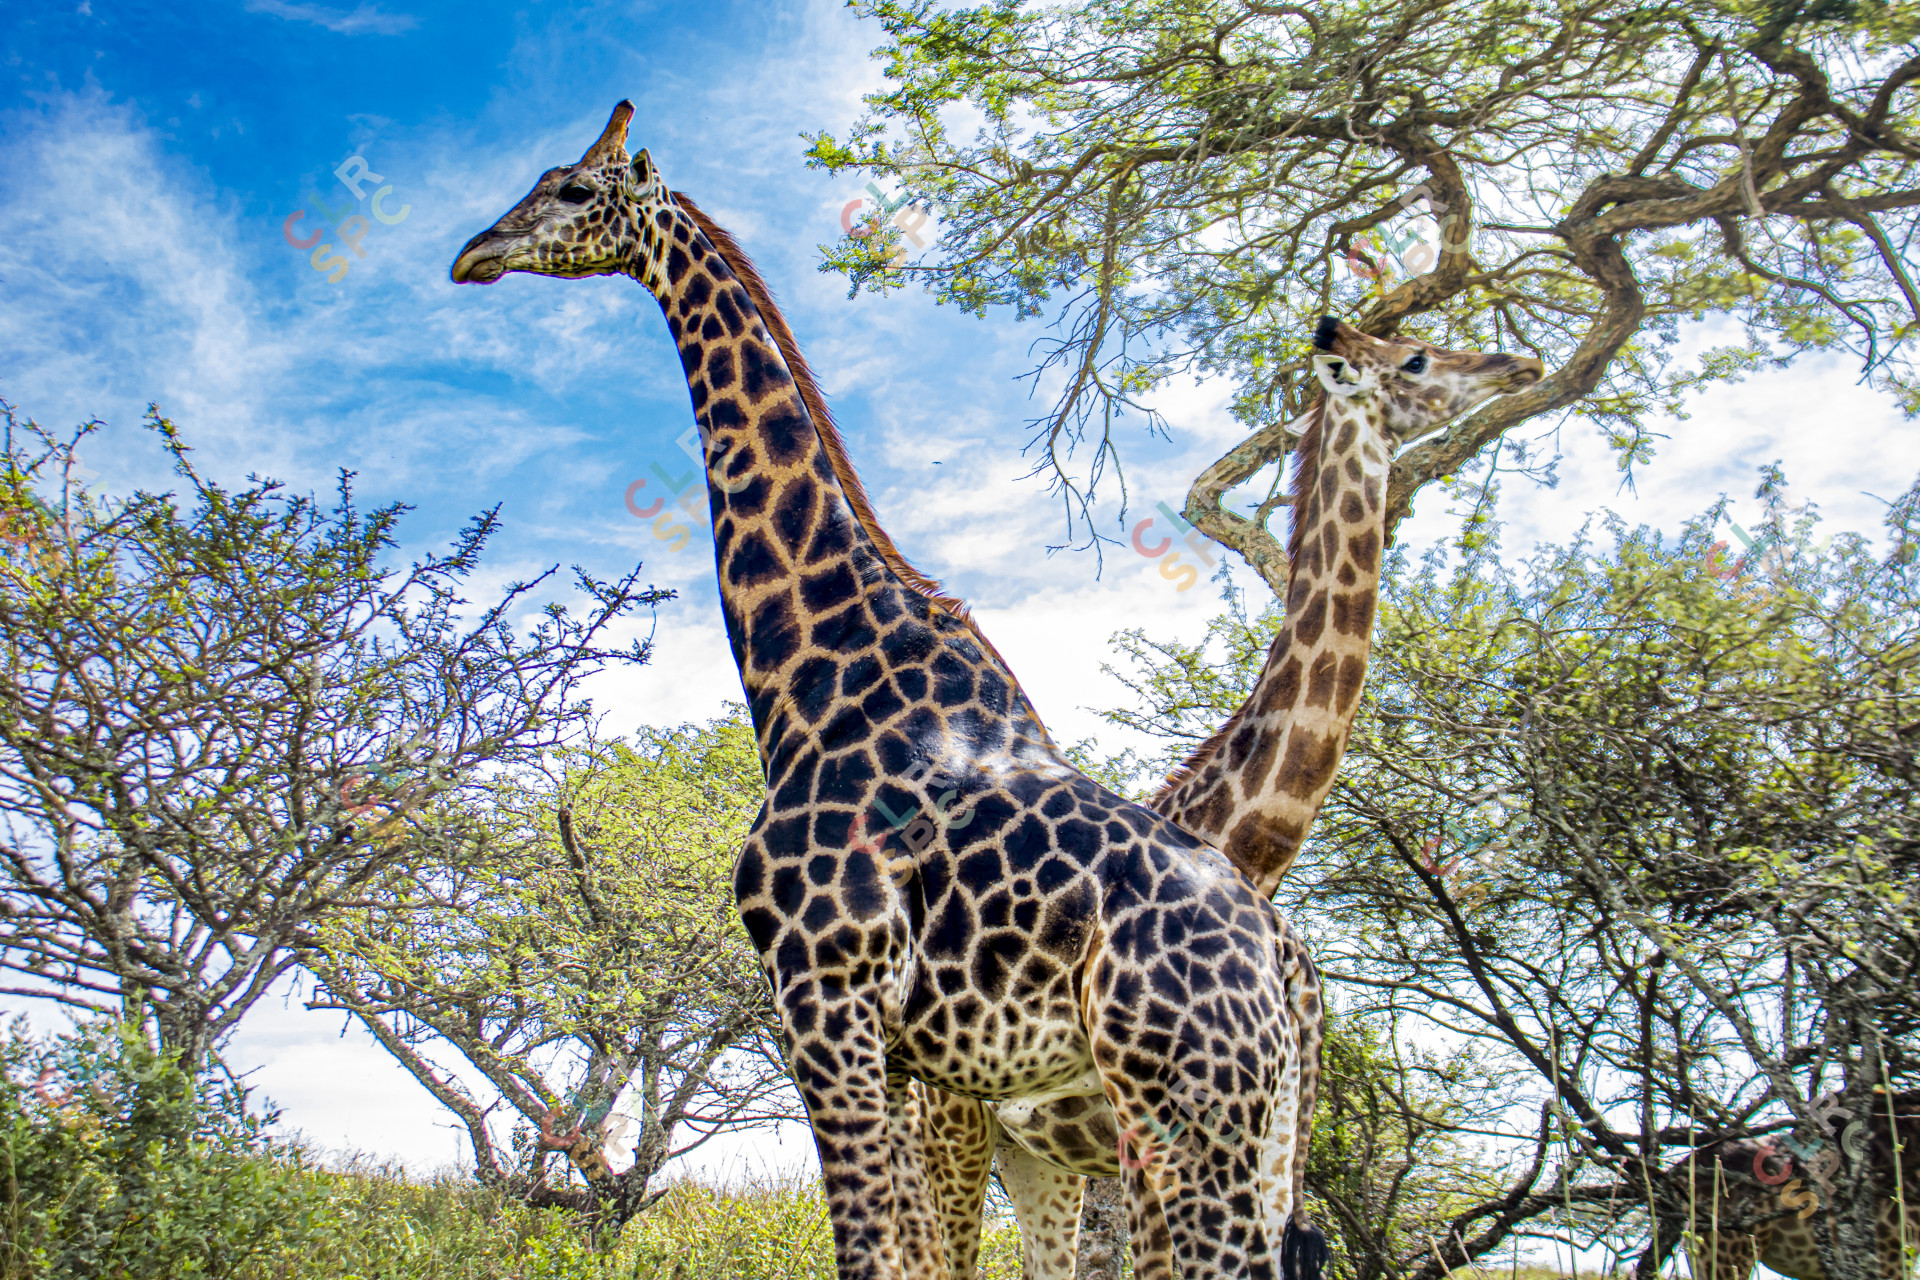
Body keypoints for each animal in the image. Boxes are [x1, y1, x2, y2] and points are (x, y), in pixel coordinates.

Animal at [452, 101, 1318, 1280]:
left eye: (576, 191)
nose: (474, 253)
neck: (819, 675)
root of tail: (1282, 967)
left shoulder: (824, 993)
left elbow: (869, 1250)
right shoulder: (910, 1055)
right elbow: (913, 1254)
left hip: (1187, 1109)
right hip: (1252, 1130)